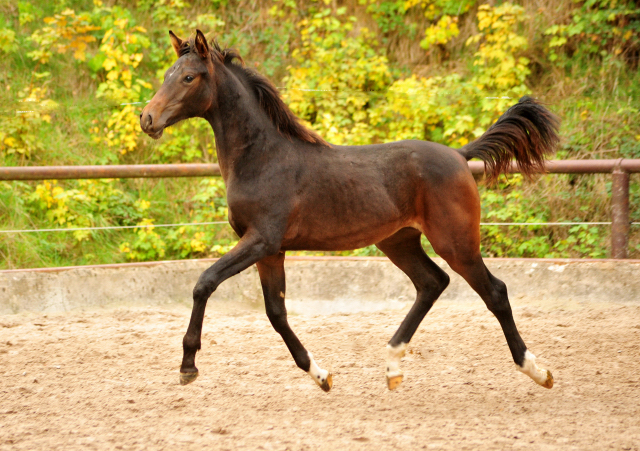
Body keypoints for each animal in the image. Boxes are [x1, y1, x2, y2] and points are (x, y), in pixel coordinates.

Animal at [141, 30, 560, 392]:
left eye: (189, 77)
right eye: (166, 75)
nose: (147, 119)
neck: (262, 157)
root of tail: (459, 155)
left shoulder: (262, 240)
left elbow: (204, 282)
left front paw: (188, 366)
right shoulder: (271, 251)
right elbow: (276, 313)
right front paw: (320, 375)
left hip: (456, 242)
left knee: (495, 291)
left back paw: (538, 371)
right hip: (399, 241)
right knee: (432, 282)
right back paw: (392, 367)